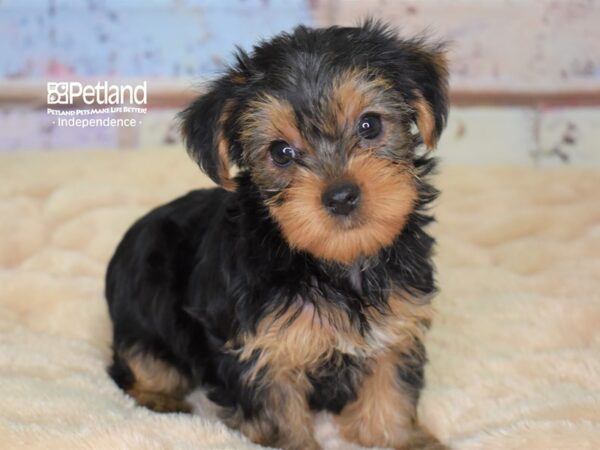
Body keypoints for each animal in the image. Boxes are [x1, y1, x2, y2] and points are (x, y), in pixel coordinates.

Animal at [105, 21, 448, 450]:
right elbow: (278, 412)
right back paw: (158, 396)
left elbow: (391, 387)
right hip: (144, 313)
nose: (341, 196)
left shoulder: (397, 323)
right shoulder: (260, 348)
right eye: (281, 152)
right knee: (136, 364)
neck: (335, 264)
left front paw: (400, 437)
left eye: (370, 125)